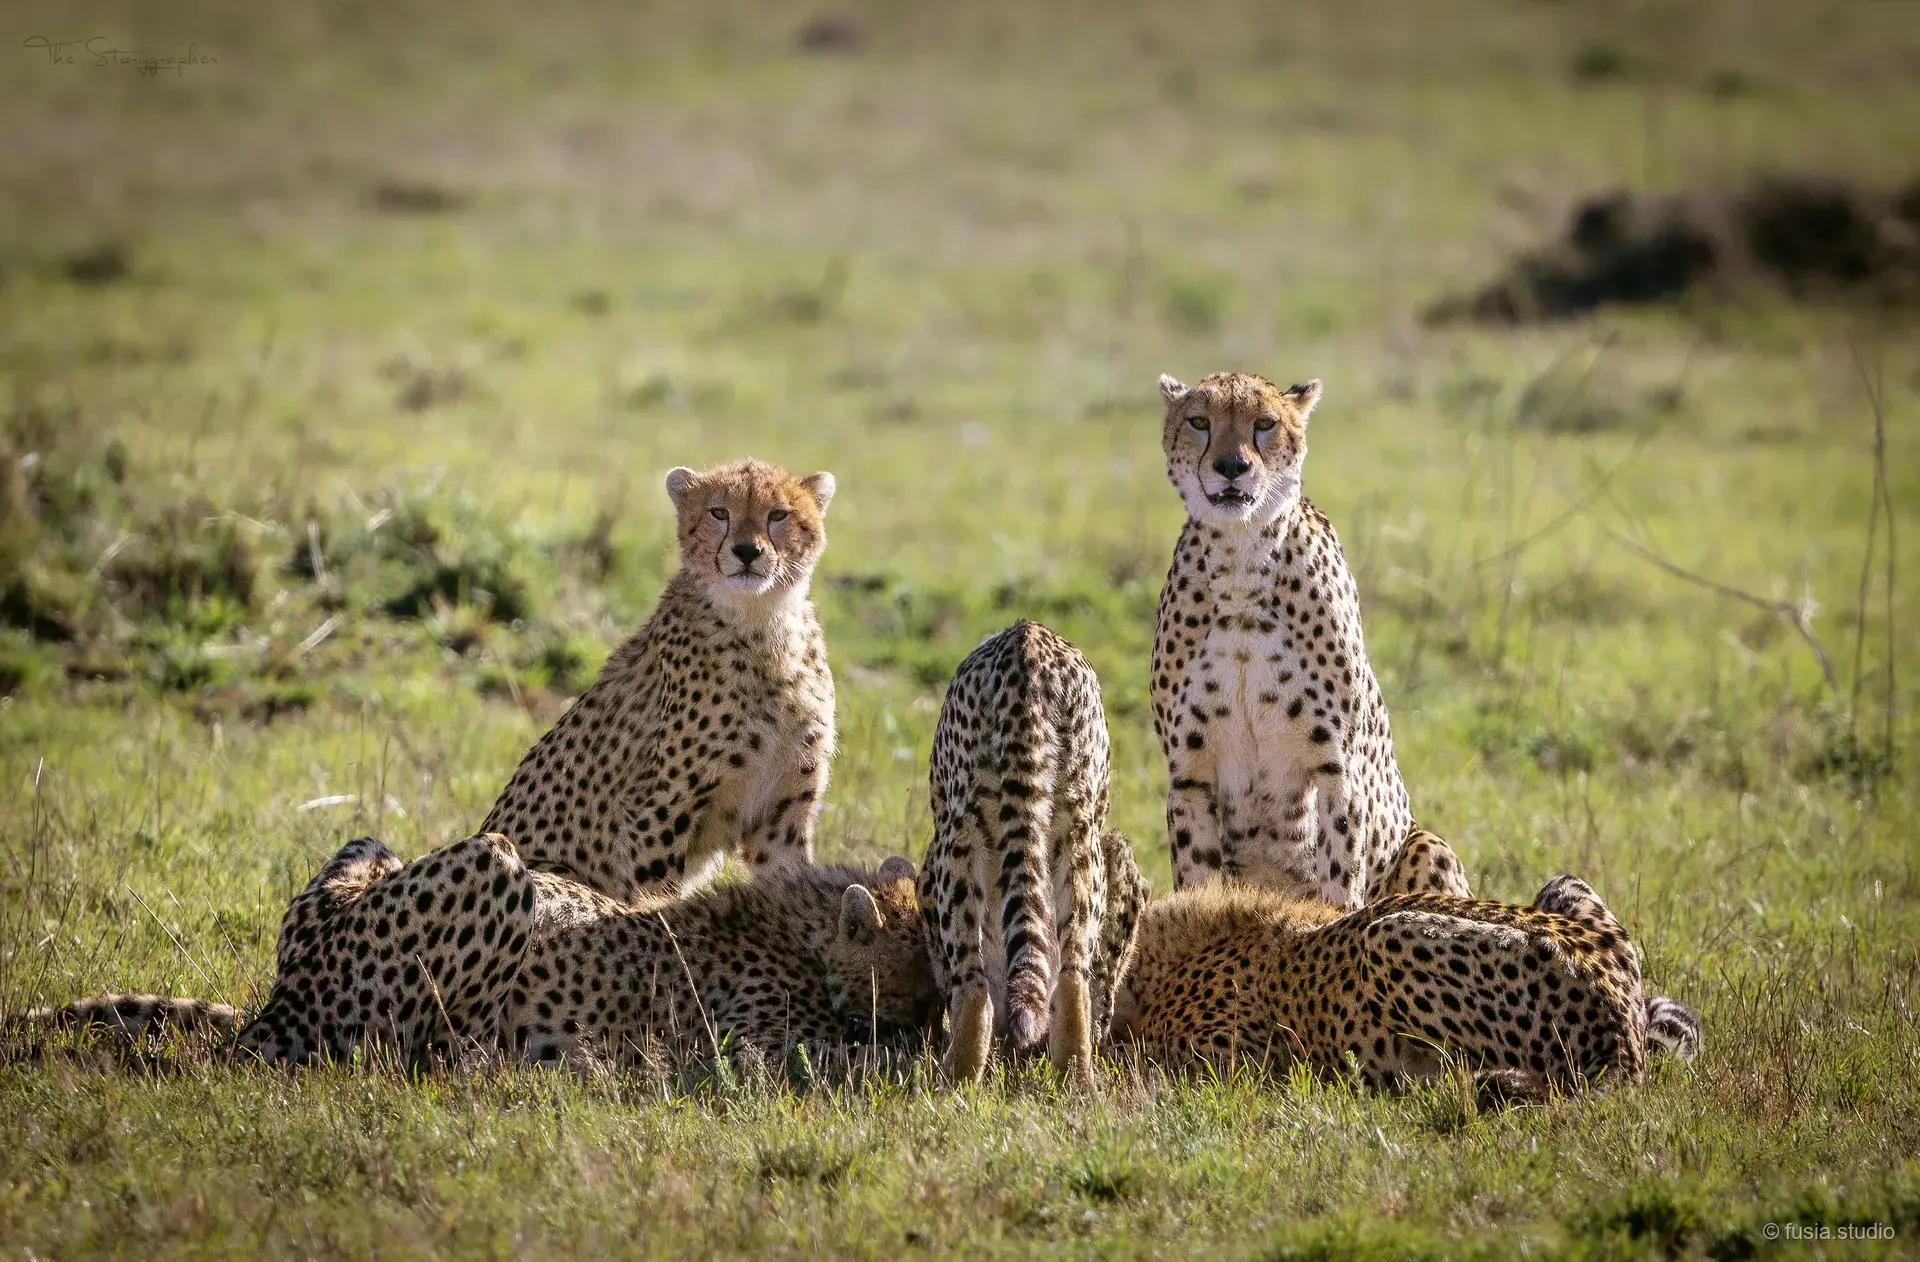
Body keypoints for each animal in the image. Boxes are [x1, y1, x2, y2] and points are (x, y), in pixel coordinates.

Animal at [482, 457, 839, 902]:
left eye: (778, 515)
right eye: (718, 512)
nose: (747, 551)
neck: (763, 623)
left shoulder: (782, 815)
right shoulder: (658, 808)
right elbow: (657, 898)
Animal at [918, 620, 1150, 1085]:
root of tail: (1026, 640)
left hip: (957, 844)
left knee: (973, 982)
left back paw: (953, 1080)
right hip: (1080, 838)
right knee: (1073, 973)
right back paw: (1076, 1078)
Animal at [1150, 370, 1470, 909]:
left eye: (1264, 424)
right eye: (1199, 422)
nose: (1232, 466)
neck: (1240, 563)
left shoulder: (1338, 768)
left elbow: (1341, 883)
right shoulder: (1189, 774)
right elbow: (1197, 882)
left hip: (1427, 843)